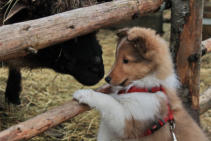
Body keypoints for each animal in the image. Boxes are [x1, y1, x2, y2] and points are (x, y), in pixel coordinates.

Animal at [73, 27, 208, 140]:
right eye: (116, 57)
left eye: (126, 60)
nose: (107, 79)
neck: (144, 86)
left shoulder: (129, 122)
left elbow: (109, 101)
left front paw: (84, 94)